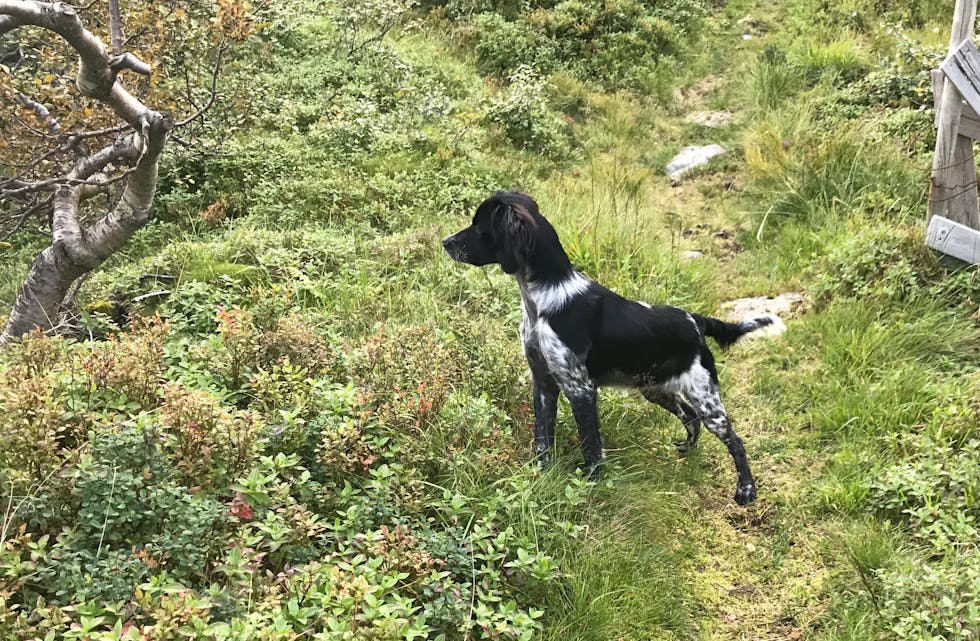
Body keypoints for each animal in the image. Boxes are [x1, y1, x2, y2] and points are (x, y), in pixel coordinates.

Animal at [440, 190, 784, 504]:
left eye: (479, 225)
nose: (445, 242)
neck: (543, 300)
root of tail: (694, 320)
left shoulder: (580, 388)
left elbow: (591, 445)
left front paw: (591, 484)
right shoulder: (544, 382)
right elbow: (542, 438)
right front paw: (539, 474)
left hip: (705, 397)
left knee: (735, 440)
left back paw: (746, 491)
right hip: (657, 389)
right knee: (690, 417)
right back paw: (686, 449)